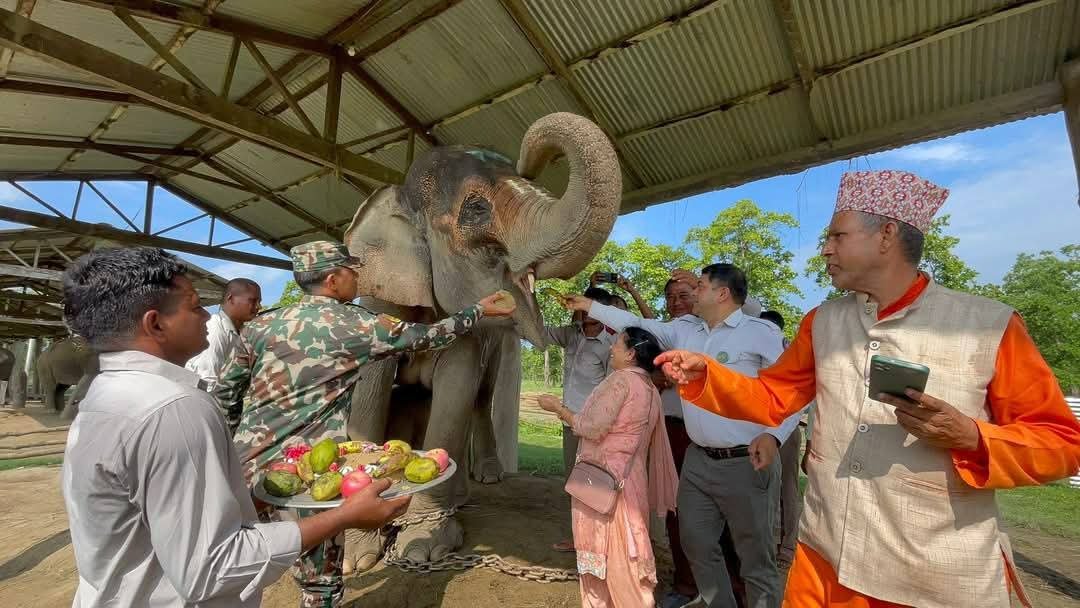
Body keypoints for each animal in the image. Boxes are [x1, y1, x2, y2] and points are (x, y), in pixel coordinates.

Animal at [342, 112, 620, 569]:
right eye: (476, 208)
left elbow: (457, 384)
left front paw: (423, 547)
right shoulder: (380, 298)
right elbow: (371, 387)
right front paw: (356, 556)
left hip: (501, 350)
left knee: (480, 396)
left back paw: (481, 481)